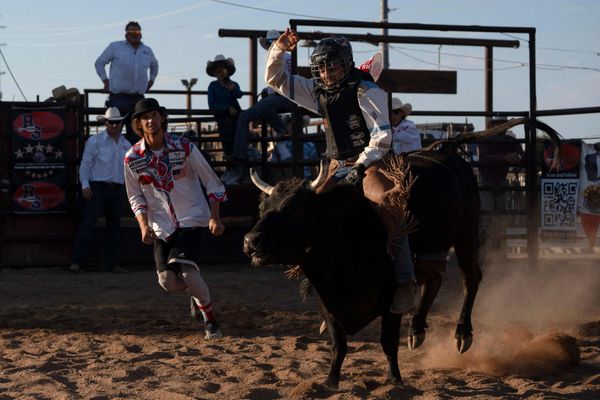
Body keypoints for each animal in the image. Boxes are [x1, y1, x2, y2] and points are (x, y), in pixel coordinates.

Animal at [244, 149, 482, 388]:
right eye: (261, 209)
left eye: (293, 208)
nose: (250, 240)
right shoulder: (327, 301)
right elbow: (338, 345)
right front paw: (330, 382)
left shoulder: (391, 299)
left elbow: (388, 342)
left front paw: (394, 379)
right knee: (434, 279)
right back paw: (416, 330)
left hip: (466, 233)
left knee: (470, 277)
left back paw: (463, 334)